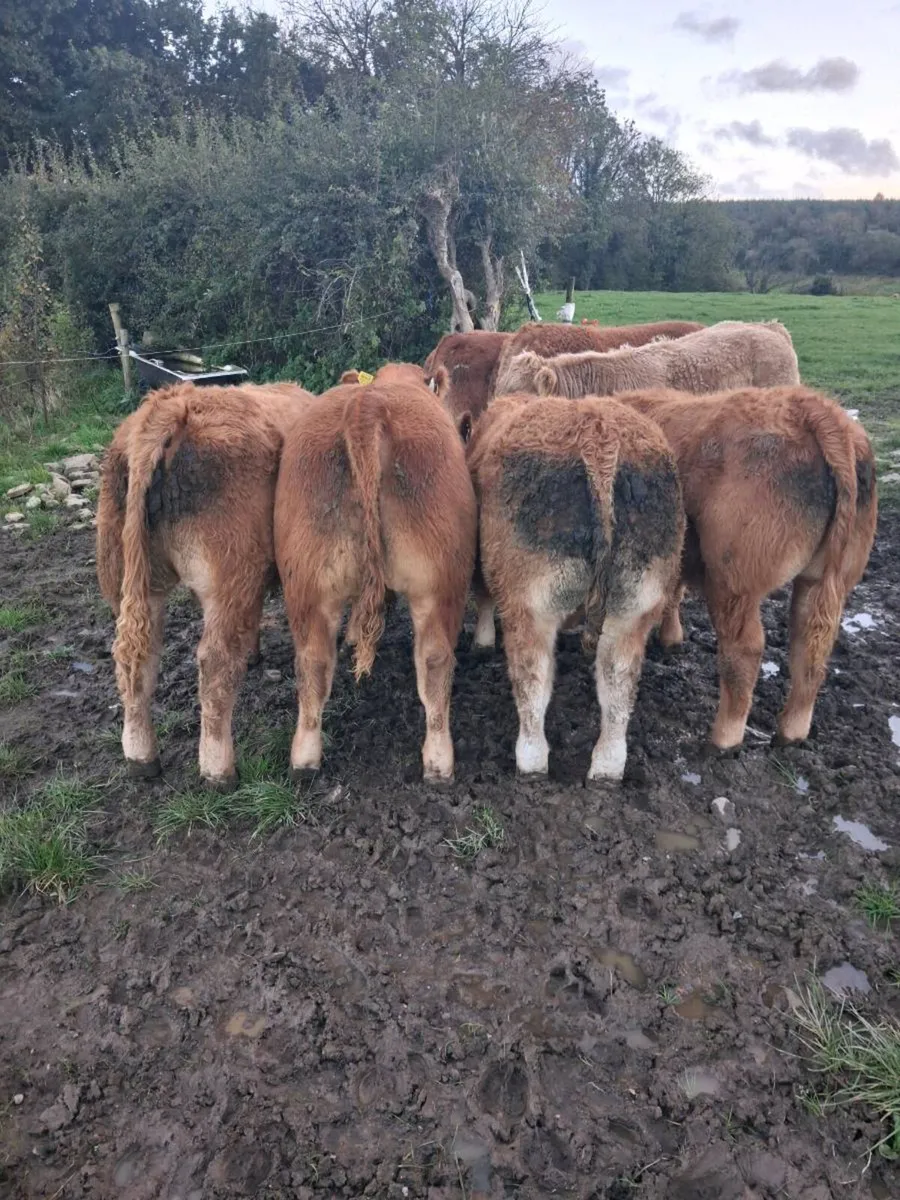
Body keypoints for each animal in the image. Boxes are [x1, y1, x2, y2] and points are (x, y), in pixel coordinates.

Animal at [96, 380, 315, 787]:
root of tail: (172, 403)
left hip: (128, 580)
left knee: (135, 657)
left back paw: (140, 756)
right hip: (229, 575)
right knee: (215, 661)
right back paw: (218, 769)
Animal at [274, 368, 477, 784]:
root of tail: (367, 405)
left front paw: (353, 636)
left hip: (307, 584)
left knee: (312, 662)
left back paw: (304, 759)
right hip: (441, 585)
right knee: (435, 661)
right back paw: (439, 762)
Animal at [464, 392, 685, 783]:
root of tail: (598, 434)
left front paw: (482, 642)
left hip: (531, 606)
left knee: (533, 678)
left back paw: (531, 760)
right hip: (635, 605)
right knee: (618, 680)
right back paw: (607, 767)